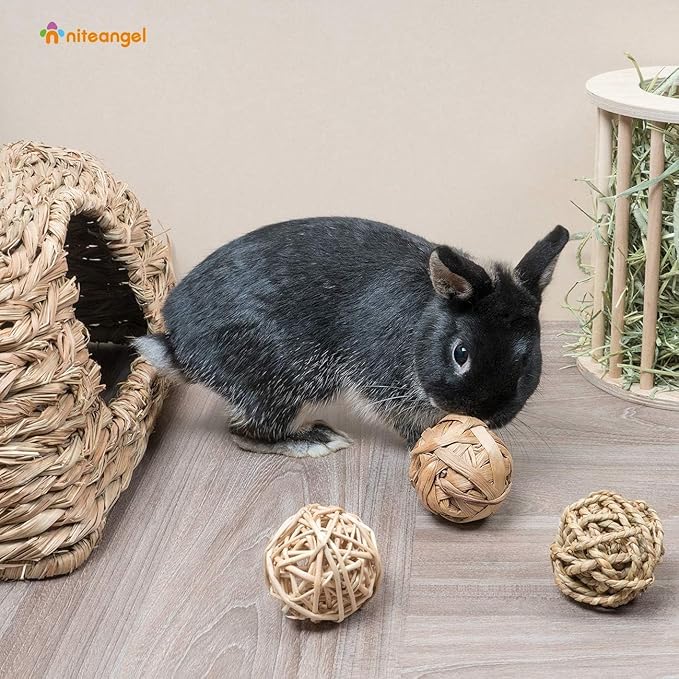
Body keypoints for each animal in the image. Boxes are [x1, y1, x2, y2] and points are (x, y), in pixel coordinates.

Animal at [135, 217, 569, 457]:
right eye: (460, 353)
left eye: (527, 362)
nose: (484, 416)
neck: (425, 318)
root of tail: (180, 347)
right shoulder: (382, 381)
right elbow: (402, 418)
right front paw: (428, 442)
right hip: (284, 378)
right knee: (245, 433)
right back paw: (315, 440)